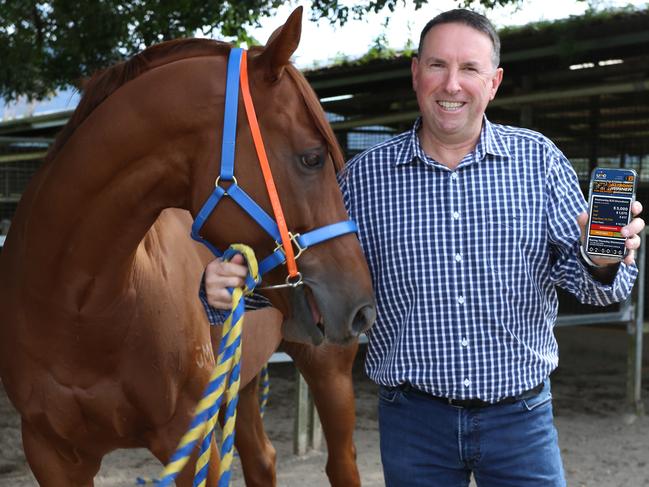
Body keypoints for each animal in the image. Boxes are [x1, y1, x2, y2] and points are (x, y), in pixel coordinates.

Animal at [0, 8, 374, 487]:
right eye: (312, 157)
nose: (360, 305)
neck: (77, 310)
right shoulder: (51, 453)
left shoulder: (192, 442)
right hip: (243, 378)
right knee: (262, 458)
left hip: (328, 370)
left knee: (340, 462)